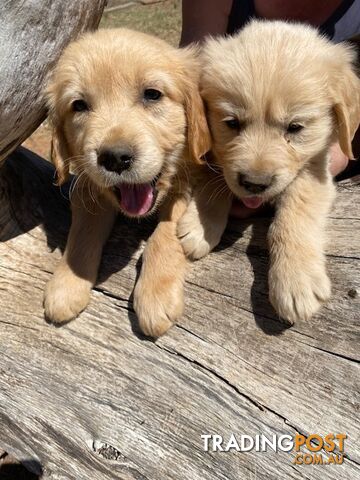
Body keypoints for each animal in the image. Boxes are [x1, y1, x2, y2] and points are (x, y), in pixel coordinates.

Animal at [43, 28, 210, 336]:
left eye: (152, 95)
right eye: (79, 105)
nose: (116, 158)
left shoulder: (191, 175)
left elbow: (166, 231)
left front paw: (156, 294)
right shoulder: (87, 188)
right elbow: (83, 231)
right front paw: (67, 283)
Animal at [179, 20, 360, 324]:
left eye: (295, 128)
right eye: (232, 123)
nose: (254, 183)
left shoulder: (315, 167)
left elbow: (295, 211)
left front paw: (296, 279)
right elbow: (214, 179)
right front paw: (200, 224)